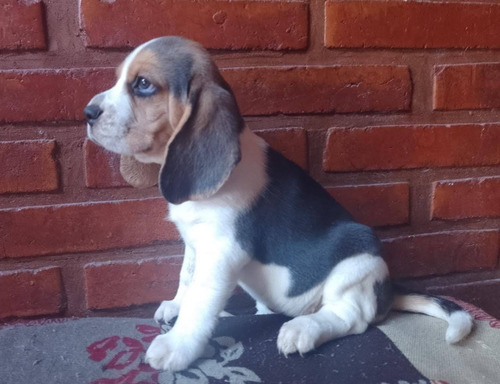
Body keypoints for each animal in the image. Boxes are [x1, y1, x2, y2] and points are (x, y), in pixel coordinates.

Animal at [85, 36, 472, 372]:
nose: (88, 112)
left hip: (358, 258)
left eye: (143, 84)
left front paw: (177, 345)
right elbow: (187, 277)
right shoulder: (194, 243)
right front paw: (176, 306)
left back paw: (302, 329)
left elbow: (201, 299)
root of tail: (388, 291)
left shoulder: (222, 250)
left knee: (351, 317)